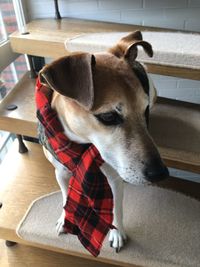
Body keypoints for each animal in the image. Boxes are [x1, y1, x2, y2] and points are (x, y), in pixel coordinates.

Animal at [38, 31, 169, 253]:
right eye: (108, 117)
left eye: (145, 111)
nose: (160, 174)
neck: (81, 146)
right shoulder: (60, 171)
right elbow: (65, 196)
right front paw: (65, 219)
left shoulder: (114, 178)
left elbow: (116, 209)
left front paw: (117, 233)